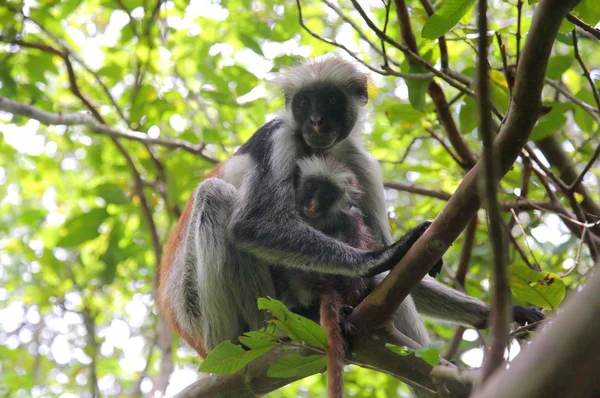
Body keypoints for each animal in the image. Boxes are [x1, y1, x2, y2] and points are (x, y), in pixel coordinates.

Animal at [157, 56, 540, 366]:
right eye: (303, 102)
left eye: (330, 100)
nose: (315, 121)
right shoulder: (279, 135)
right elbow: (251, 225)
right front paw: (383, 255)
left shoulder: (360, 163)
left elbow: (400, 271)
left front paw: (500, 314)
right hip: (197, 310)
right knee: (215, 195)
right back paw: (269, 332)